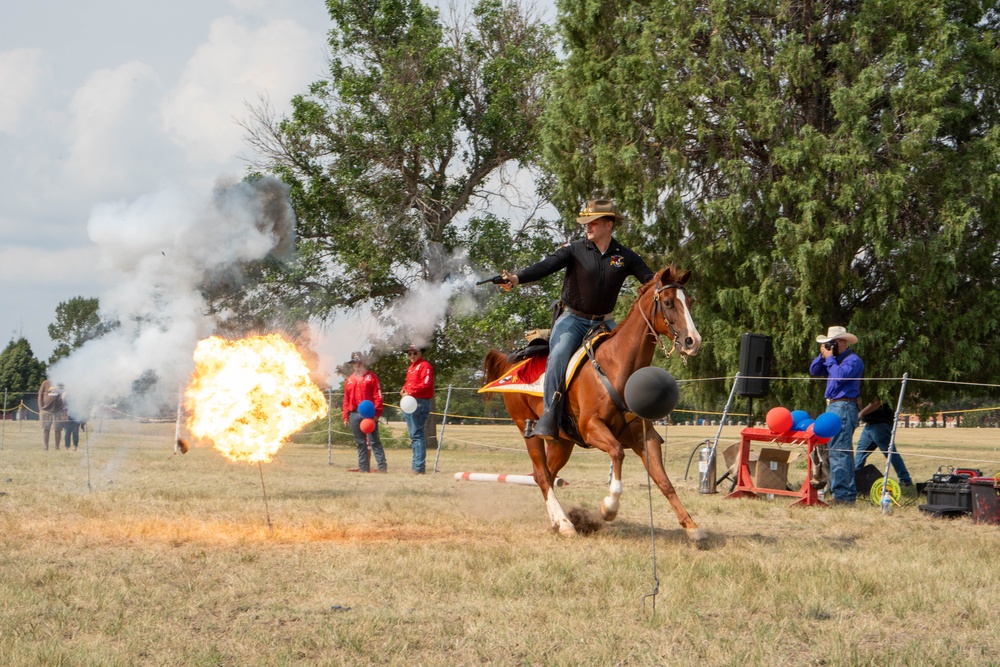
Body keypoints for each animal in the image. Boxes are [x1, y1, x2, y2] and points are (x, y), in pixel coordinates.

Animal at [482, 264, 704, 540]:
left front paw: (691, 526)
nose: (693, 341)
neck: (616, 366)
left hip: (561, 442)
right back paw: (566, 524)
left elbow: (663, 480)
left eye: (691, 302)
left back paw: (558, 521)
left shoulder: (645, 436)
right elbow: (617, 453)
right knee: (542, 476)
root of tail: (511, 365)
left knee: (545, 475)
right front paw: (609, 508)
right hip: (528, 429)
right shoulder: (591, 428)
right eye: (668, 302)